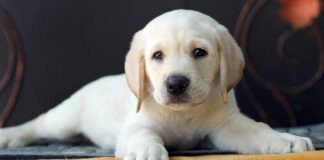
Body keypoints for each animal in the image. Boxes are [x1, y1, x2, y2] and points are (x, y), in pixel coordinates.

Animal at [0, 9, 314, 159]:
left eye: (199, 53)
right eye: (157, 56)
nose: (175, 83)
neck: (184, 114)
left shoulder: (226, 125)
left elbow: (257, 129)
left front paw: (286, 139)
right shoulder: (137, 123)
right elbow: (143, 135)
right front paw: (147, 151)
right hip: (65, 120)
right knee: (40, 123)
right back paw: (10, 136)